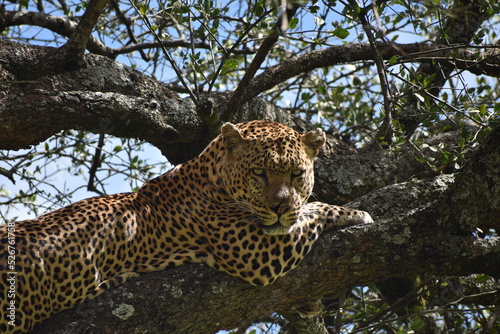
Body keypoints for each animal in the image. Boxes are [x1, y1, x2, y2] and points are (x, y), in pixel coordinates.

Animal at [0, 120, 372, 334]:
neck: (210, 172)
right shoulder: (251, 250)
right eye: (259, 173)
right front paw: (356, 213)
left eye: (296, 174)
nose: (279, 207)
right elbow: (312, 211)